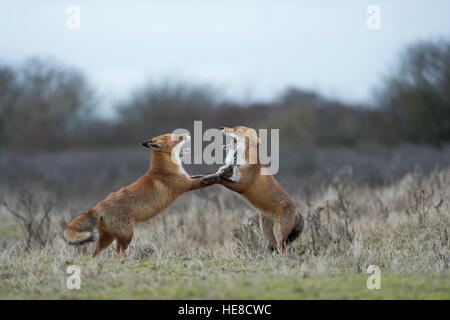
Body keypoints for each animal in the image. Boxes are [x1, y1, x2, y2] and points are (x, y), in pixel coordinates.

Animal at [63, 131, 214, 256]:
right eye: (178, 138)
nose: (188, 133)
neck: (164, 169)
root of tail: (98, 206)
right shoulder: (186, 185)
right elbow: (205, 180)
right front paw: (217, 176)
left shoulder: (188, 178)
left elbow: (204, 174)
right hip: (127, 235)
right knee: (118, 253)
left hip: (108, 238)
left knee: (95, 253)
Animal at [201, 126, 304, 254]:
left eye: (235, 130)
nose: (221, 127)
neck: (238, 161)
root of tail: (296, 210)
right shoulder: (229, 171)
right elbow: (214, 174)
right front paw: (202, 178)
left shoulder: (241, 185)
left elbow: (219, 179)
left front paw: (208, 180)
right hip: (266, 231)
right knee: (274, 246)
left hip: (278, 232)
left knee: (282, 248)